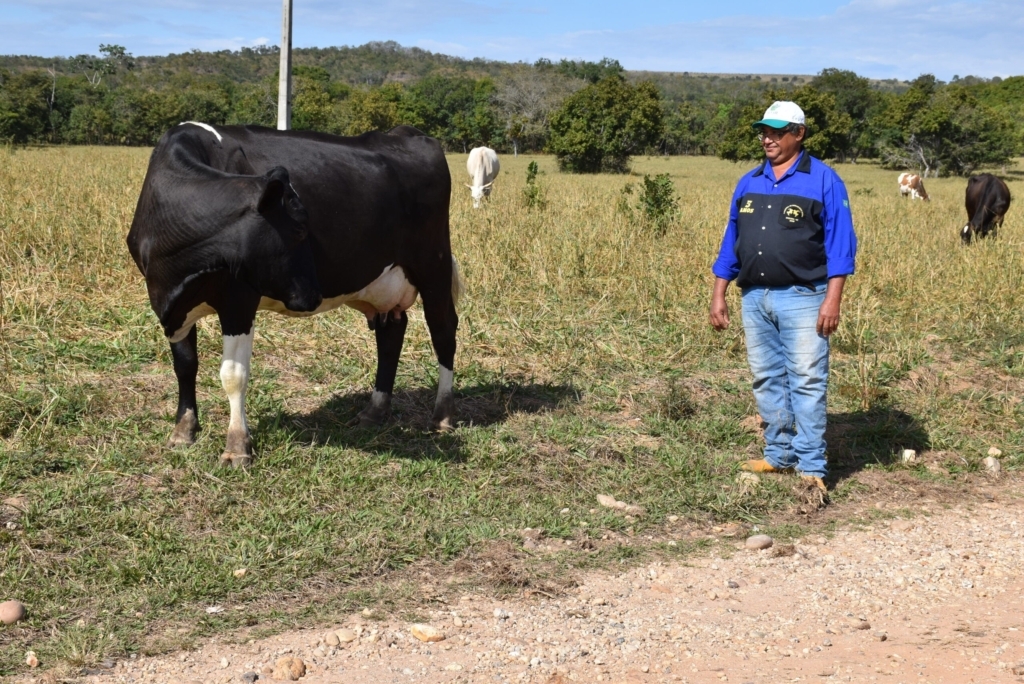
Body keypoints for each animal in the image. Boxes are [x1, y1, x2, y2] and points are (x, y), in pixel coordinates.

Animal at [129, 121, 464, 464]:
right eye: (301, 229)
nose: (313, 297)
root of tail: (405, 132)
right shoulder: (168, 302)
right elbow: (185, 364)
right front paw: (183, 431)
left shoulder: (239, 299)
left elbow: (234, 374)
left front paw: (236, 446)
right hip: (383, 282)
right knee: (390, 334)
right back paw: (375, 410)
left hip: (433, 263)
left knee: (443, 331)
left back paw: (443, 415)